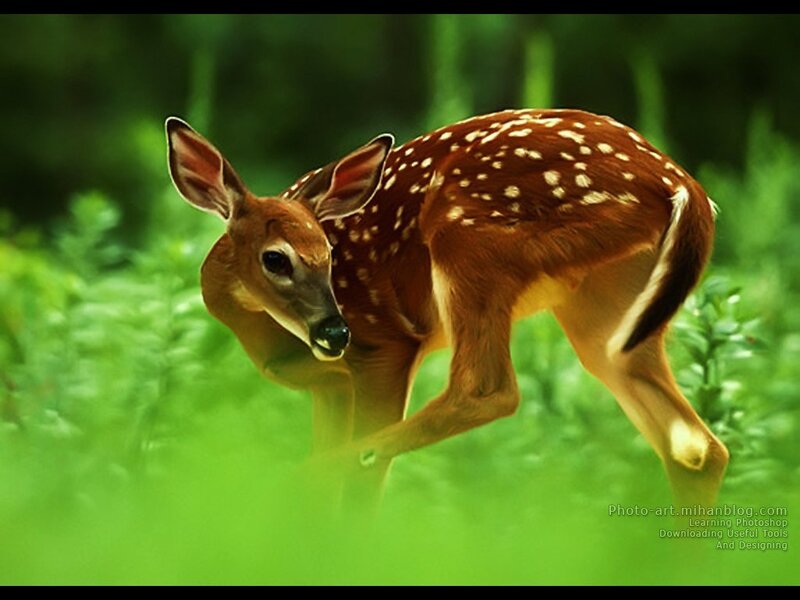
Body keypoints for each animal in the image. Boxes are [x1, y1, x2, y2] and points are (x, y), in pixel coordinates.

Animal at [166, 108, 729, 511]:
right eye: (275, 258)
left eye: (328, 253)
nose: (333, 332)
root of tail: (681, 184)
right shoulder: (329, 385)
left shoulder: (385, 344)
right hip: (608, 311)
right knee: (696, 448)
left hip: (468, 239)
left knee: (485, 390)